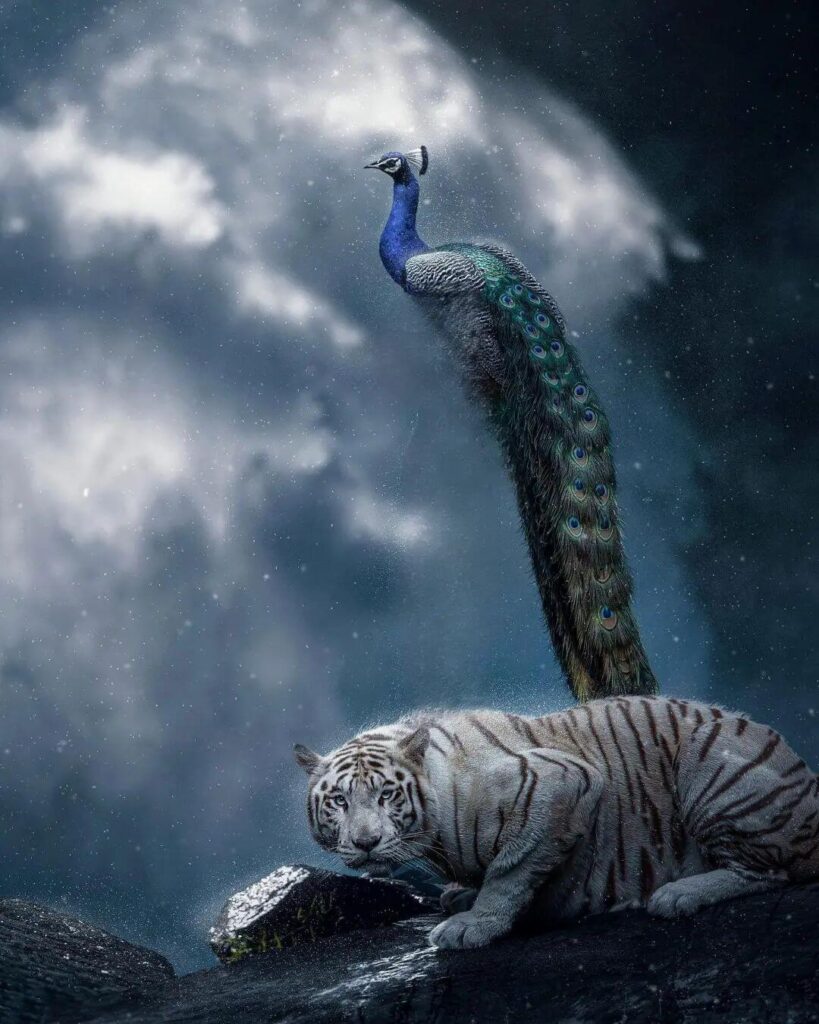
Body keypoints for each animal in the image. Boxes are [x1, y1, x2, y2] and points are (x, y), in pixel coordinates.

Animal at [294, 696, 819, 948]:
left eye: (386, 794)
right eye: (339, 801)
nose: (365, 842)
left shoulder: (561, 782)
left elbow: (510, 869)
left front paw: (473, 926)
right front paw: (460, 897)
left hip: (708, 762)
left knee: (770, 871)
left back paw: (676, 894)